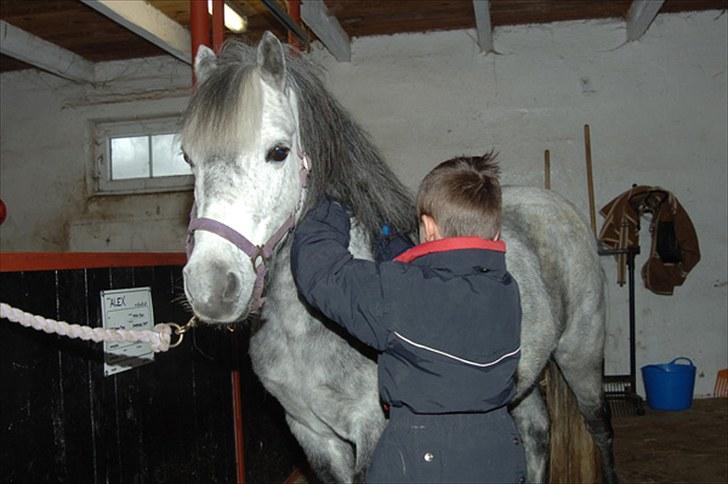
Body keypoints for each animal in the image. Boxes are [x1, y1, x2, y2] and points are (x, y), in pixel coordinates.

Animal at [181, 32, 617, 484]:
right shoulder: (312, 433)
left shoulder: (372, 426)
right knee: (535, 429)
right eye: (187, 158)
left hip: (581, 356)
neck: (302, 326)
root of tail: (558, 207)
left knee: (600, 429)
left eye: (279, 151)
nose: (211, 287)